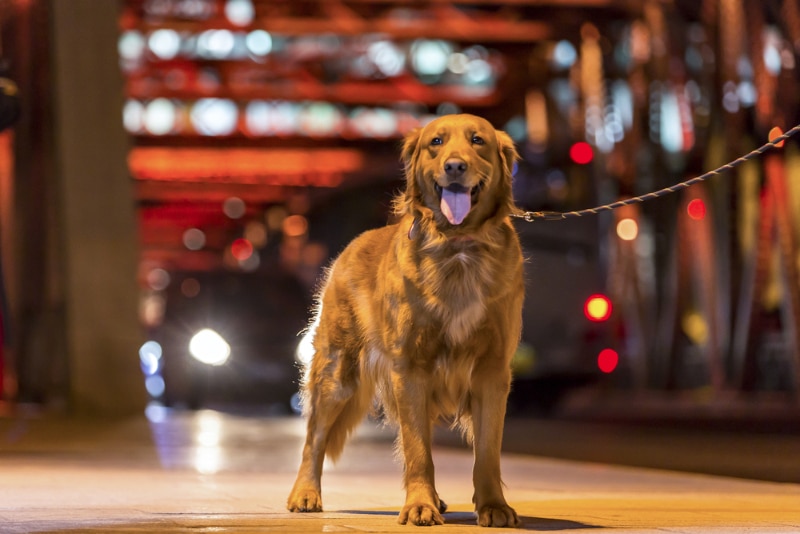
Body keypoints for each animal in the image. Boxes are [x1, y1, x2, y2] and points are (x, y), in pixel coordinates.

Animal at [288, 115, 524, 528]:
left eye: (478, 141)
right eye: (436, 143)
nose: (455, 166)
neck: (457, 248)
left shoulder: (492, 371)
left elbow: (487, 452)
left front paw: (494, 505)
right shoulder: (410, 368)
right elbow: (418, 450)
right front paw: (419, 505)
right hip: (336, 373)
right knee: (313, 439)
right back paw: (305, 493)